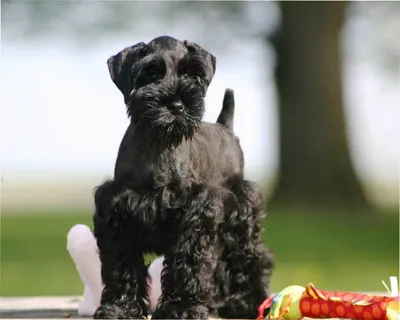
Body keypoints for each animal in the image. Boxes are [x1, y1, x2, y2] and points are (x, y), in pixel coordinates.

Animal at [92, 36, 274, 318]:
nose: (177, 105)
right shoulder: (116, 214)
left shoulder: (197, 215)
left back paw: (250, 302)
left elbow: (189, 265)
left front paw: (182, 309)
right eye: (151, 73)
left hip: (243, 218)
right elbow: (121, 268)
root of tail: (226, 127)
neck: (160, 145)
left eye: (194, 74)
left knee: (251, 259)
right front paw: (118, 308)